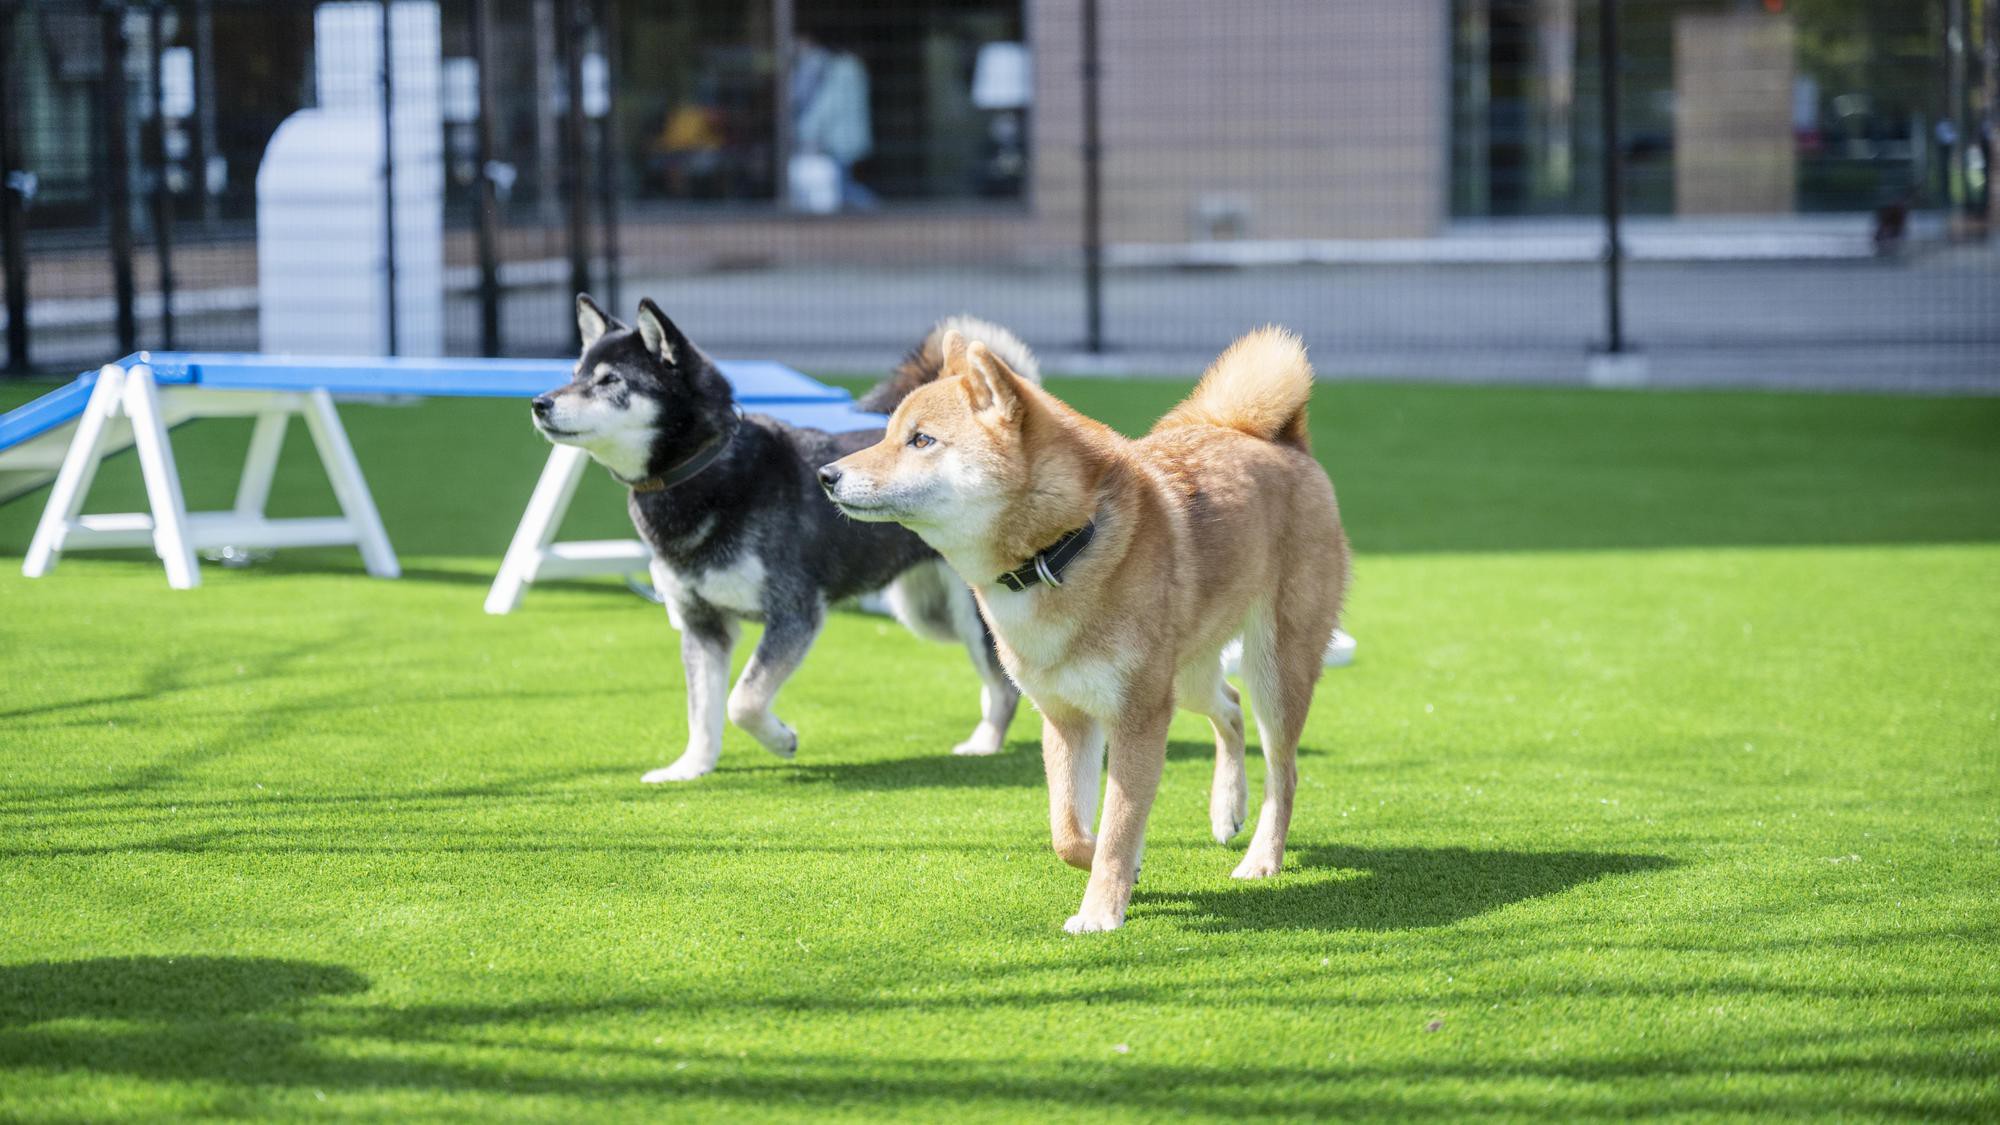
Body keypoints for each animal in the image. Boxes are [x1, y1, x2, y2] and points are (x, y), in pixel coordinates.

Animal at [820, 326, 1352, 928]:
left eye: (922, 440)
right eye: (890, 434)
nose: (826, 475)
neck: (1061, 549)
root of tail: (1281, 442)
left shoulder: (1138, 717)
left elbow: (1120, 824)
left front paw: (1100, 912)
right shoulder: (1067, 717)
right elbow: (1068, 832)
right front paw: (1119, 866)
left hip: (1273, 670)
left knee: (1282, 773)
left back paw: (1262, 858)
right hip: (1187, 675)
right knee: (1230, 709)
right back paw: (1226, 809)